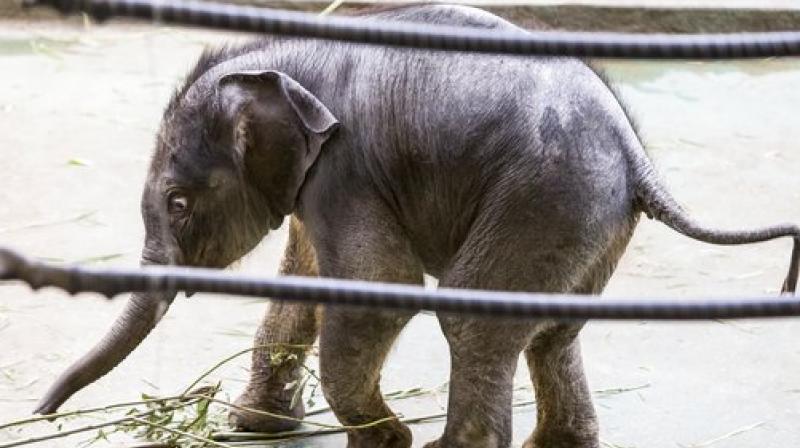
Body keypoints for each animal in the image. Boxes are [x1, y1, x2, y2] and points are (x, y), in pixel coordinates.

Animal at [36, 3, 800, 448]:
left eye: (177, 203)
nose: (42, 413)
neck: (284, 55)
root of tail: (635, 155)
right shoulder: (319, 179)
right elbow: (305, 281)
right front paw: (250, 427)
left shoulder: (347, 165)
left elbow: (377, 285)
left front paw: (385, 442)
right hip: (585, 217)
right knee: (554, 330)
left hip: (543, 196)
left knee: (475, 317)